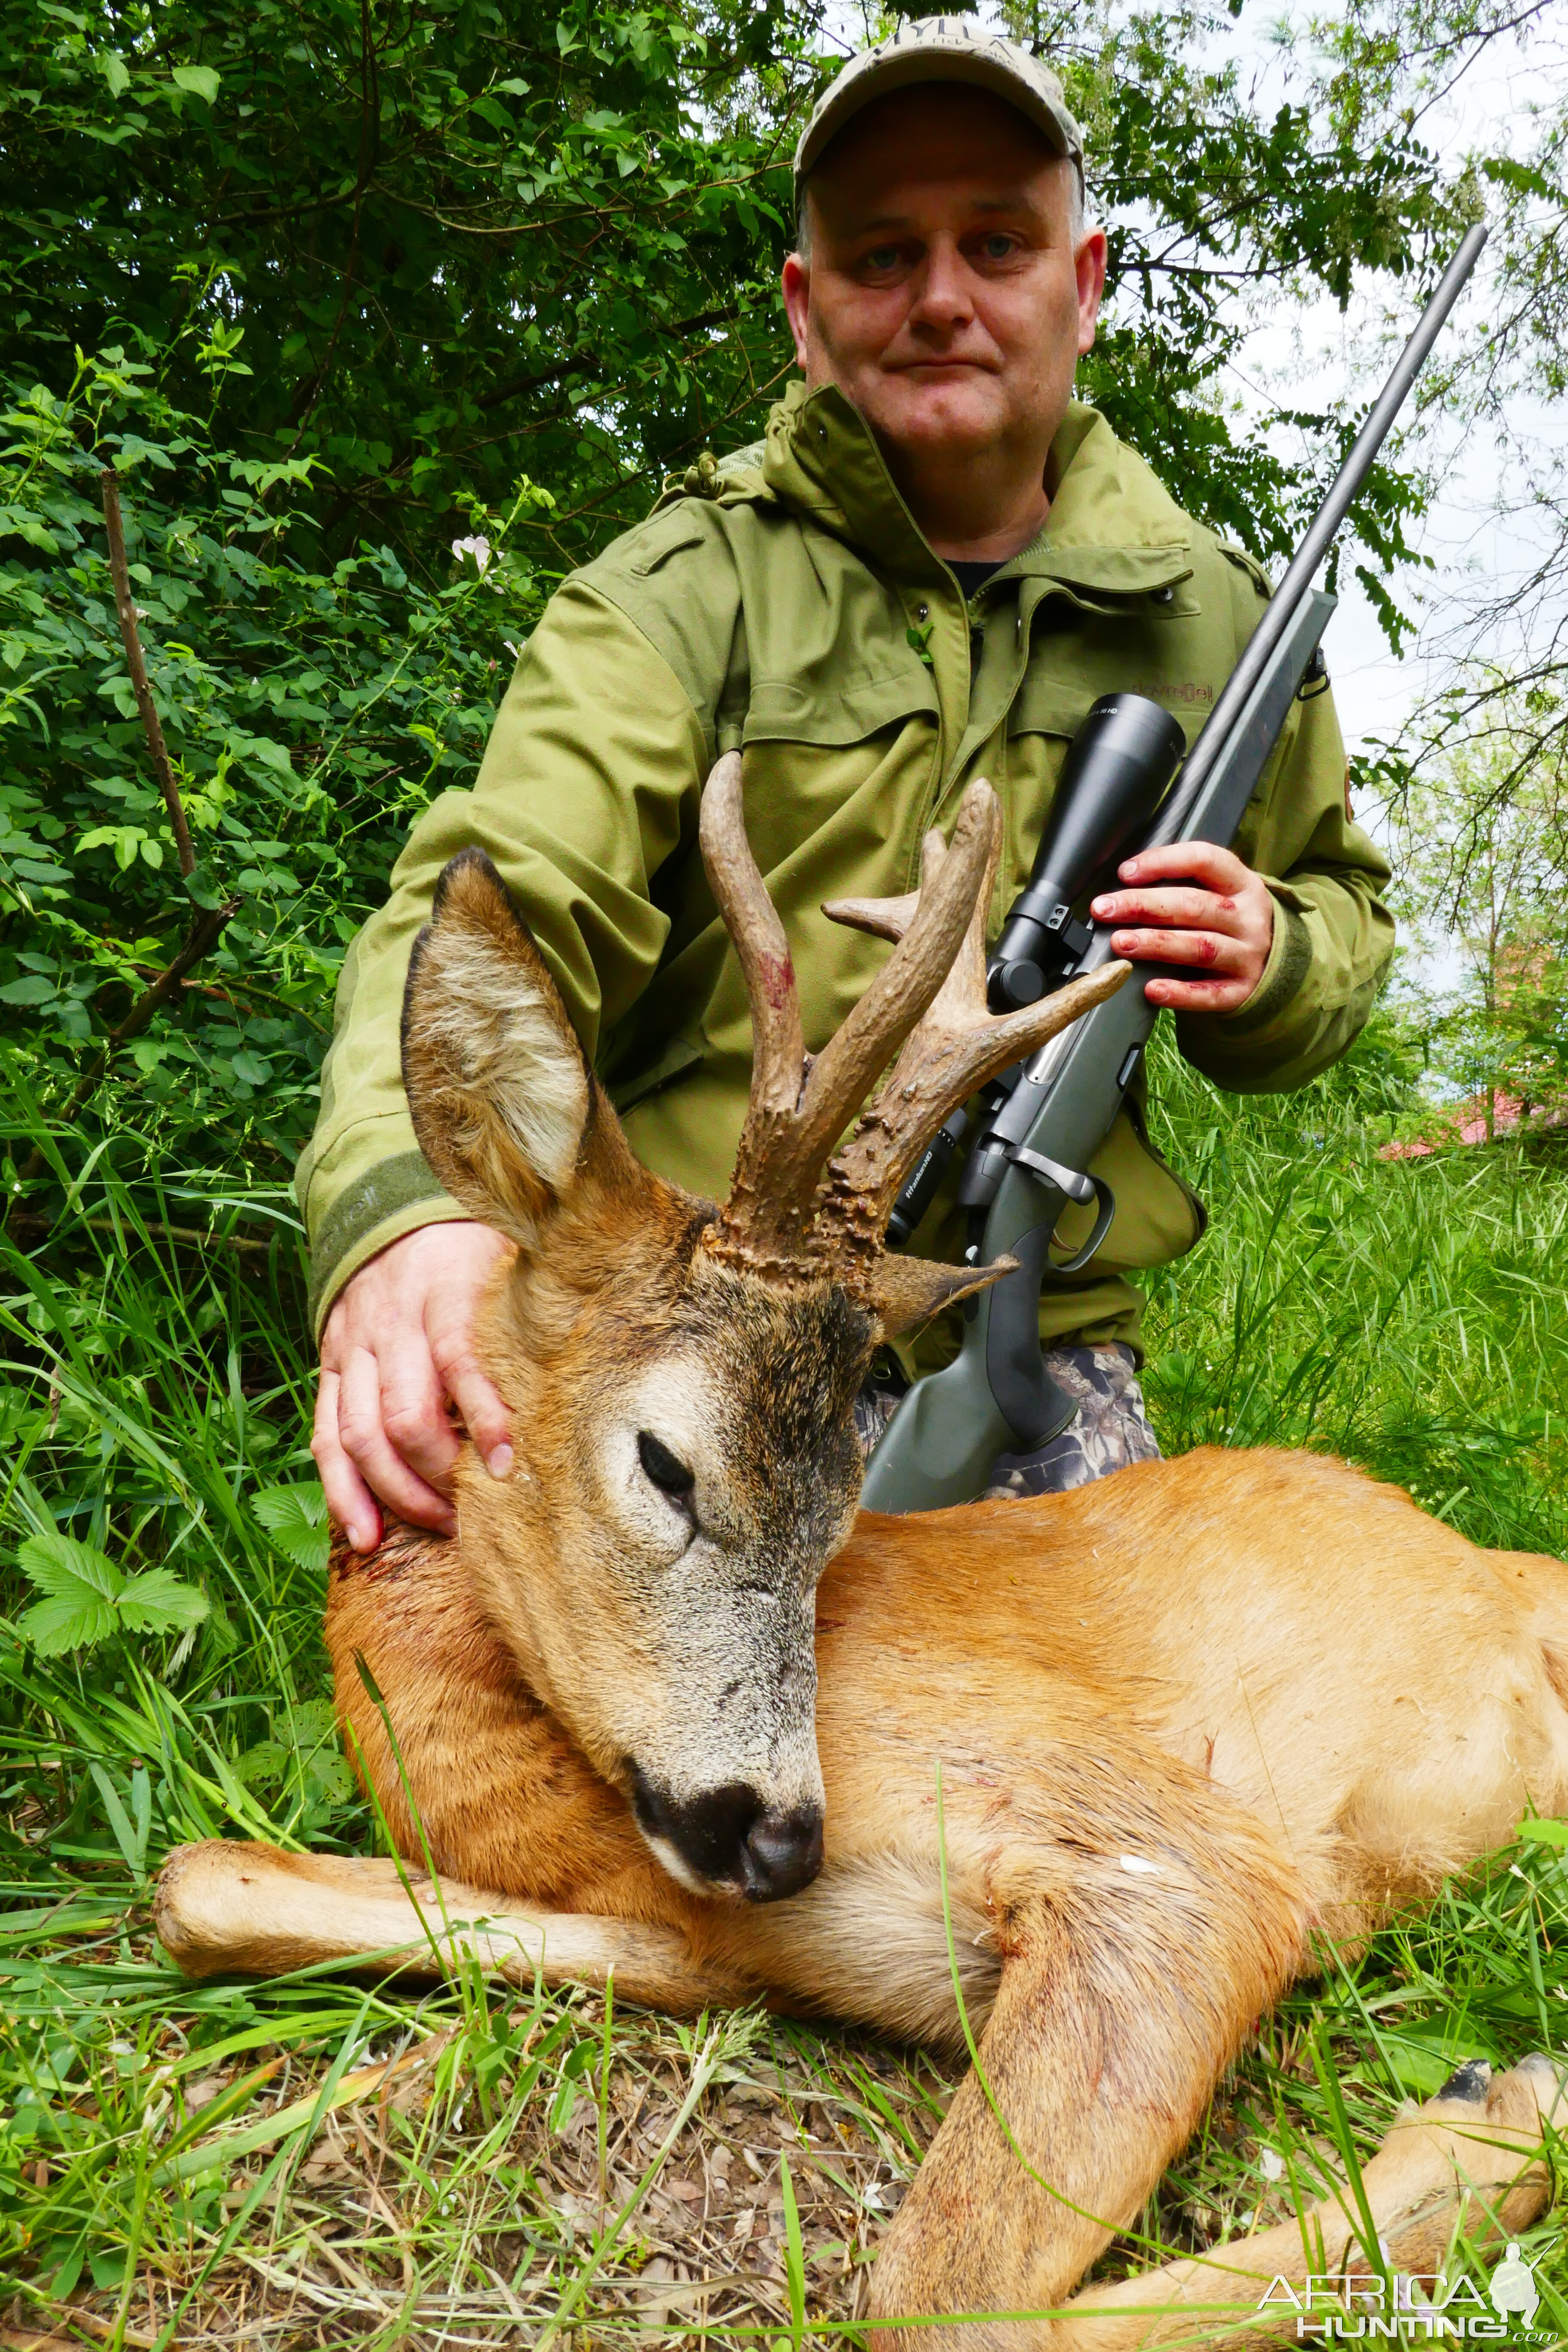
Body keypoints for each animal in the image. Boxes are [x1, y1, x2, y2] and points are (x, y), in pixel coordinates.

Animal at [156, 762, 1568, 2343]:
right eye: (666, 1464)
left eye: (843, 1510)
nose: (780, 1840)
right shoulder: (699, 1933)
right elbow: (199, 1880)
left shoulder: (1180, 1854)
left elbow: (936, 2296)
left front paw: (1498, 2113)